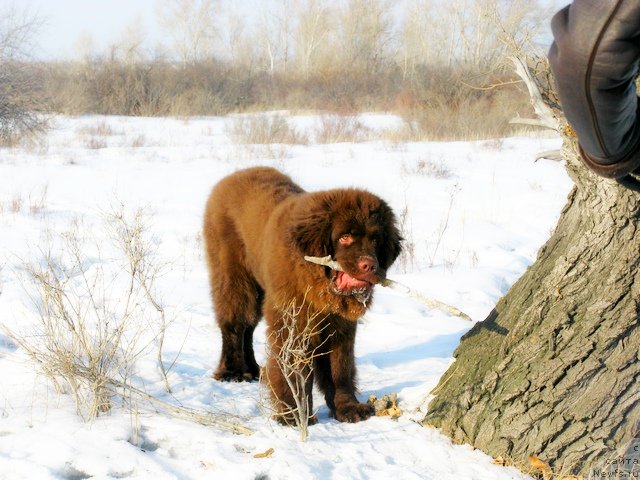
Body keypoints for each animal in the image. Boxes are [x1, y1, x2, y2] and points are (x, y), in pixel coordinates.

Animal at [202, 167, 400, 422]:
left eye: (375, 239)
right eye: (344, 237)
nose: (369, 265)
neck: (319, 283)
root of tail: (233, 176)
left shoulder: (339, 326)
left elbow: (340, 368)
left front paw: (348, 408)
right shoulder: (292, 325)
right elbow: (293, 371)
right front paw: (293, 415)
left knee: (249, 327)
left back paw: (252, 370)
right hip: (234, 278)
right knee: (235, 324)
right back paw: (232, 371)